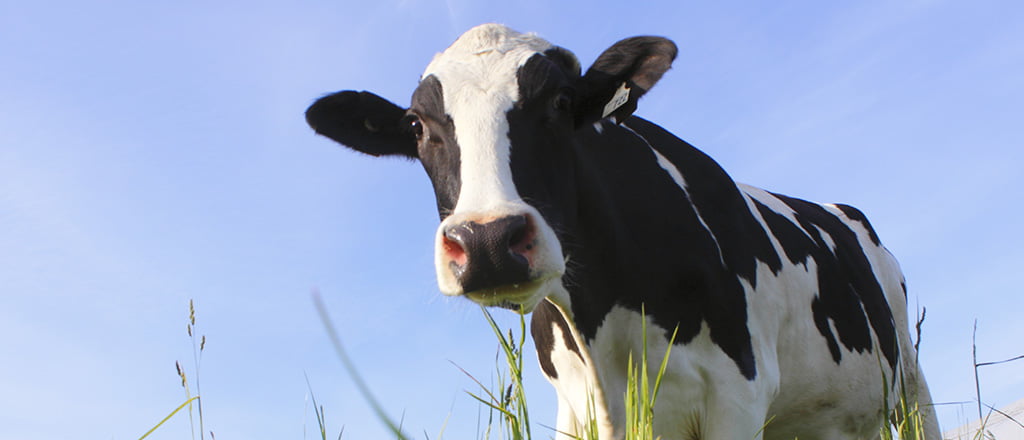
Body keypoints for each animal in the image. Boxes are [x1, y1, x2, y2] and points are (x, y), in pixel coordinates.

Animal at [305, 24, 939, 440]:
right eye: (417, 126)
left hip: (910, 385)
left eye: (562, 101)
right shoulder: (577, 410)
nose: (488, 242)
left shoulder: (738, 394)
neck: (605, 325)